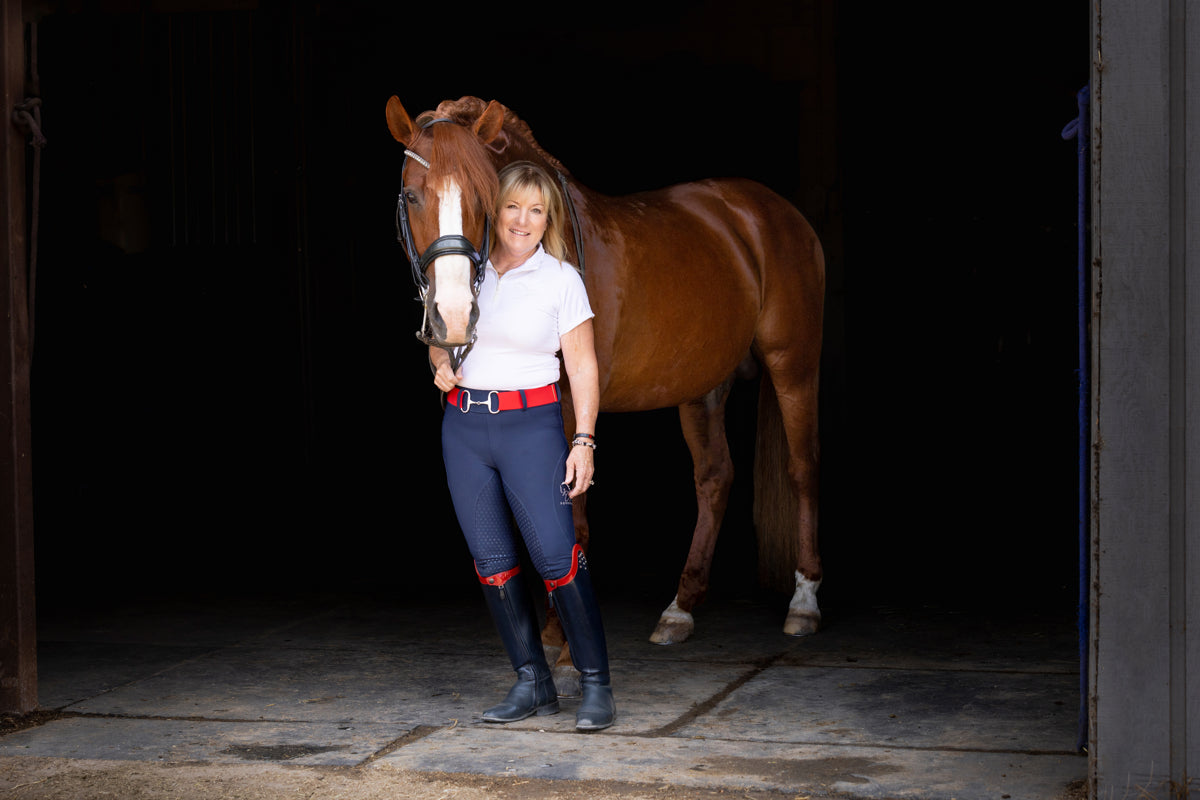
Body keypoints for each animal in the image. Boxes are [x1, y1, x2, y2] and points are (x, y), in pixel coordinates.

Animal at [386, 97, 825, 662]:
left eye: (486, 198)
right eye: (412, 195)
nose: (455, 317)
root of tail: (773, 211)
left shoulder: (574, 405)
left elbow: (569, 516)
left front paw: (565, 643)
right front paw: (554, 634)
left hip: (794, 363)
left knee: (802, 468)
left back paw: (804, 601)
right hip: (703, 386)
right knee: (714, 477)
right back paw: (680, 607)